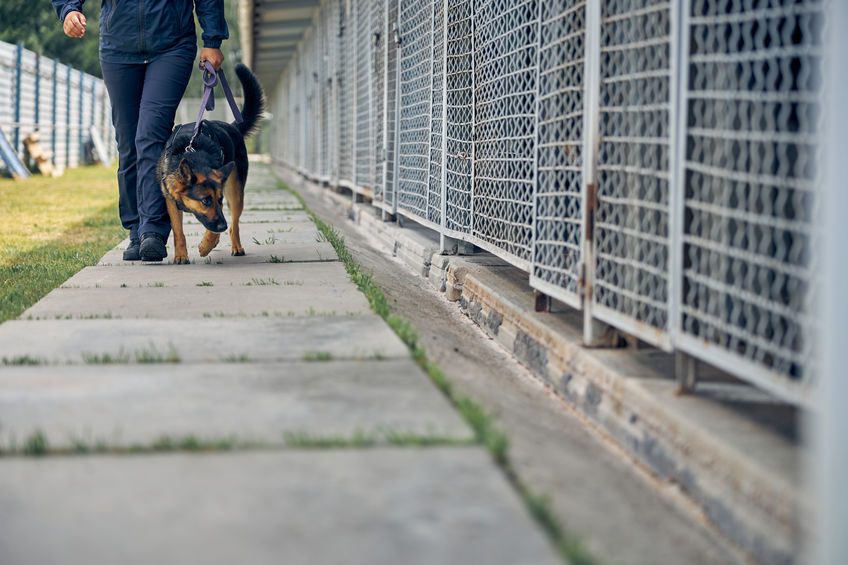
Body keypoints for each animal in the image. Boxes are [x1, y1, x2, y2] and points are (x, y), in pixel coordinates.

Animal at [157, 62, 264, 264]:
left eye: (219, 199)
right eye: (205, 200)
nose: (222, 225)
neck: (193, 154)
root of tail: (232, 126)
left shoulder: (221, 205)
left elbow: (213, 230)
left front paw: (207, 245)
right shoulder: (171, 203)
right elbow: (178, 232)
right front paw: (181, 255)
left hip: (236, 193)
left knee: (234, 225)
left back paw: (236, 246)